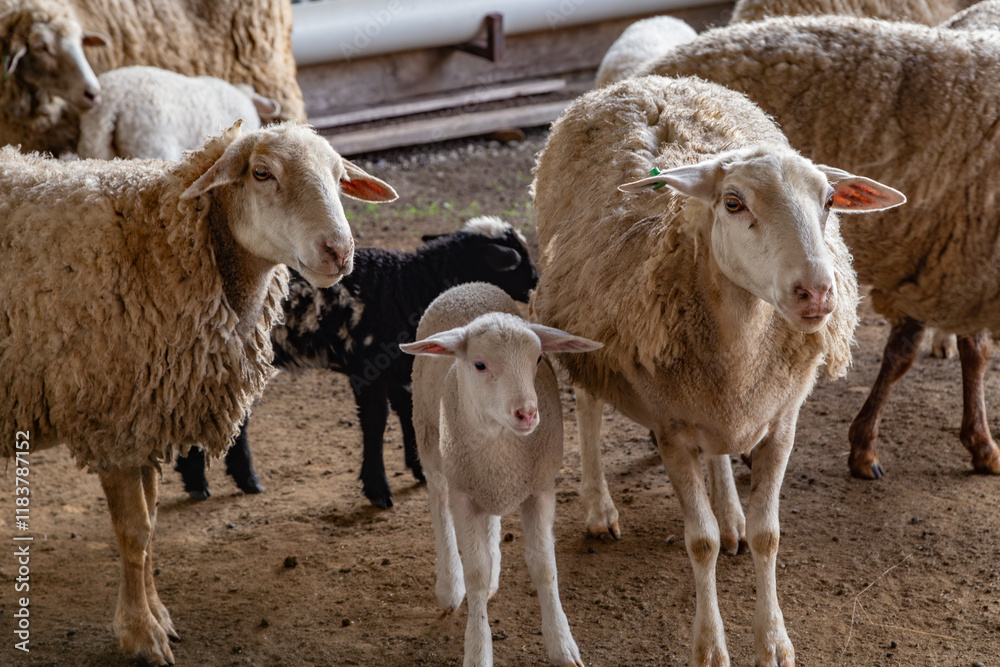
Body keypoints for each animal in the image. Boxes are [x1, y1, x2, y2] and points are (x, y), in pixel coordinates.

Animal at [0, 121, 397, 664]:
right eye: (261, 173)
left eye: (340, 178)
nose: (340, 252)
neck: (159, 240)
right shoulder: (113, 420)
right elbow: (135, 532)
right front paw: (141, 635)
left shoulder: (146, 419)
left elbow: (150, 527)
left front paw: (158, 617)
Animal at [174, 216, 540, 508]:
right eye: (516, 259)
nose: (537, 281)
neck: (407, 285)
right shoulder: (368, 369)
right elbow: (375, 424)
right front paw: (378, 489)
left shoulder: (398, 367)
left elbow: (406, 412)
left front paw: (419, 469)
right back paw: (199, 483)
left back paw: (242, 480)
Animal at [401, 281, 601, 667]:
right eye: (480, 364)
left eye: (537, 359)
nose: (528, 413)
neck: (501, 447)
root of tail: (466, 286)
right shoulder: (464, 493)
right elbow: (475, 573)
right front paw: (478, 649)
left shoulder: (539, 488)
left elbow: (544, 566)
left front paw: (562, 644)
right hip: (430, 439)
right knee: (438, 504)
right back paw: (449, 584)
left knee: (490, 520)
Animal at [528, 75, 904, 666]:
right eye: (733, 202)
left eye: (829, 201)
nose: (818, 292)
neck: (742, 338)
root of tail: (644, 80)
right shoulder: (671, 431)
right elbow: (698, 542)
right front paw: (710, 645)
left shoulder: (779, 421)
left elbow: (769, 534)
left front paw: (773, 641)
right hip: (588, 325)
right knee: (588, 403)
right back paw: (599, 508)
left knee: (722, 450)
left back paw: (731, 517)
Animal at [642, 15, 1000, 480]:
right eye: (735, 204)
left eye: (831, 201)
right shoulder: (958, 264)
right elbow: (943, 353)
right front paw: (976, 445)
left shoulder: (944, 265)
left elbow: (940, 352)